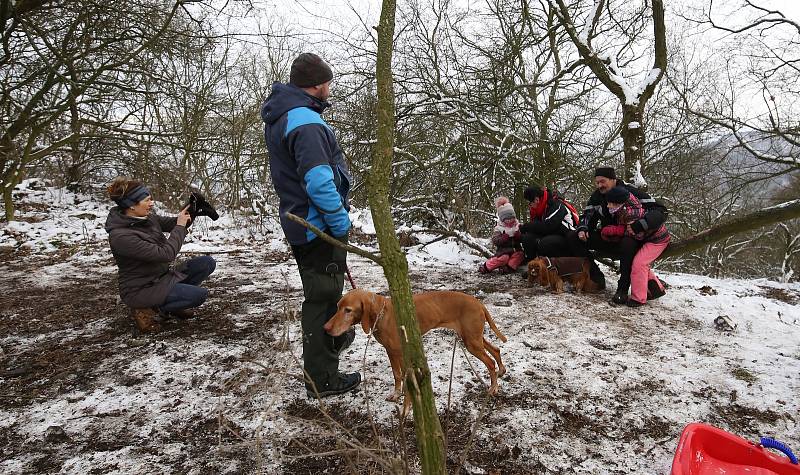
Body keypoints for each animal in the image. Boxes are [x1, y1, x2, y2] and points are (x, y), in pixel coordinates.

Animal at [324, 290, 506, 402]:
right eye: (338, 307)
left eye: (348, 310)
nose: (325, 328)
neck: (382, 313)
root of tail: (478, 303)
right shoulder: (392, 351)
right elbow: (398, 374)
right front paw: (398, 393)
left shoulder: (398, 351)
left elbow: (402, 374)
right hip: (473, 338)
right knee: (496, 349)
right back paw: (501, 371)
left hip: (472, 342)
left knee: (490, 362)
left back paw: (493, 388)